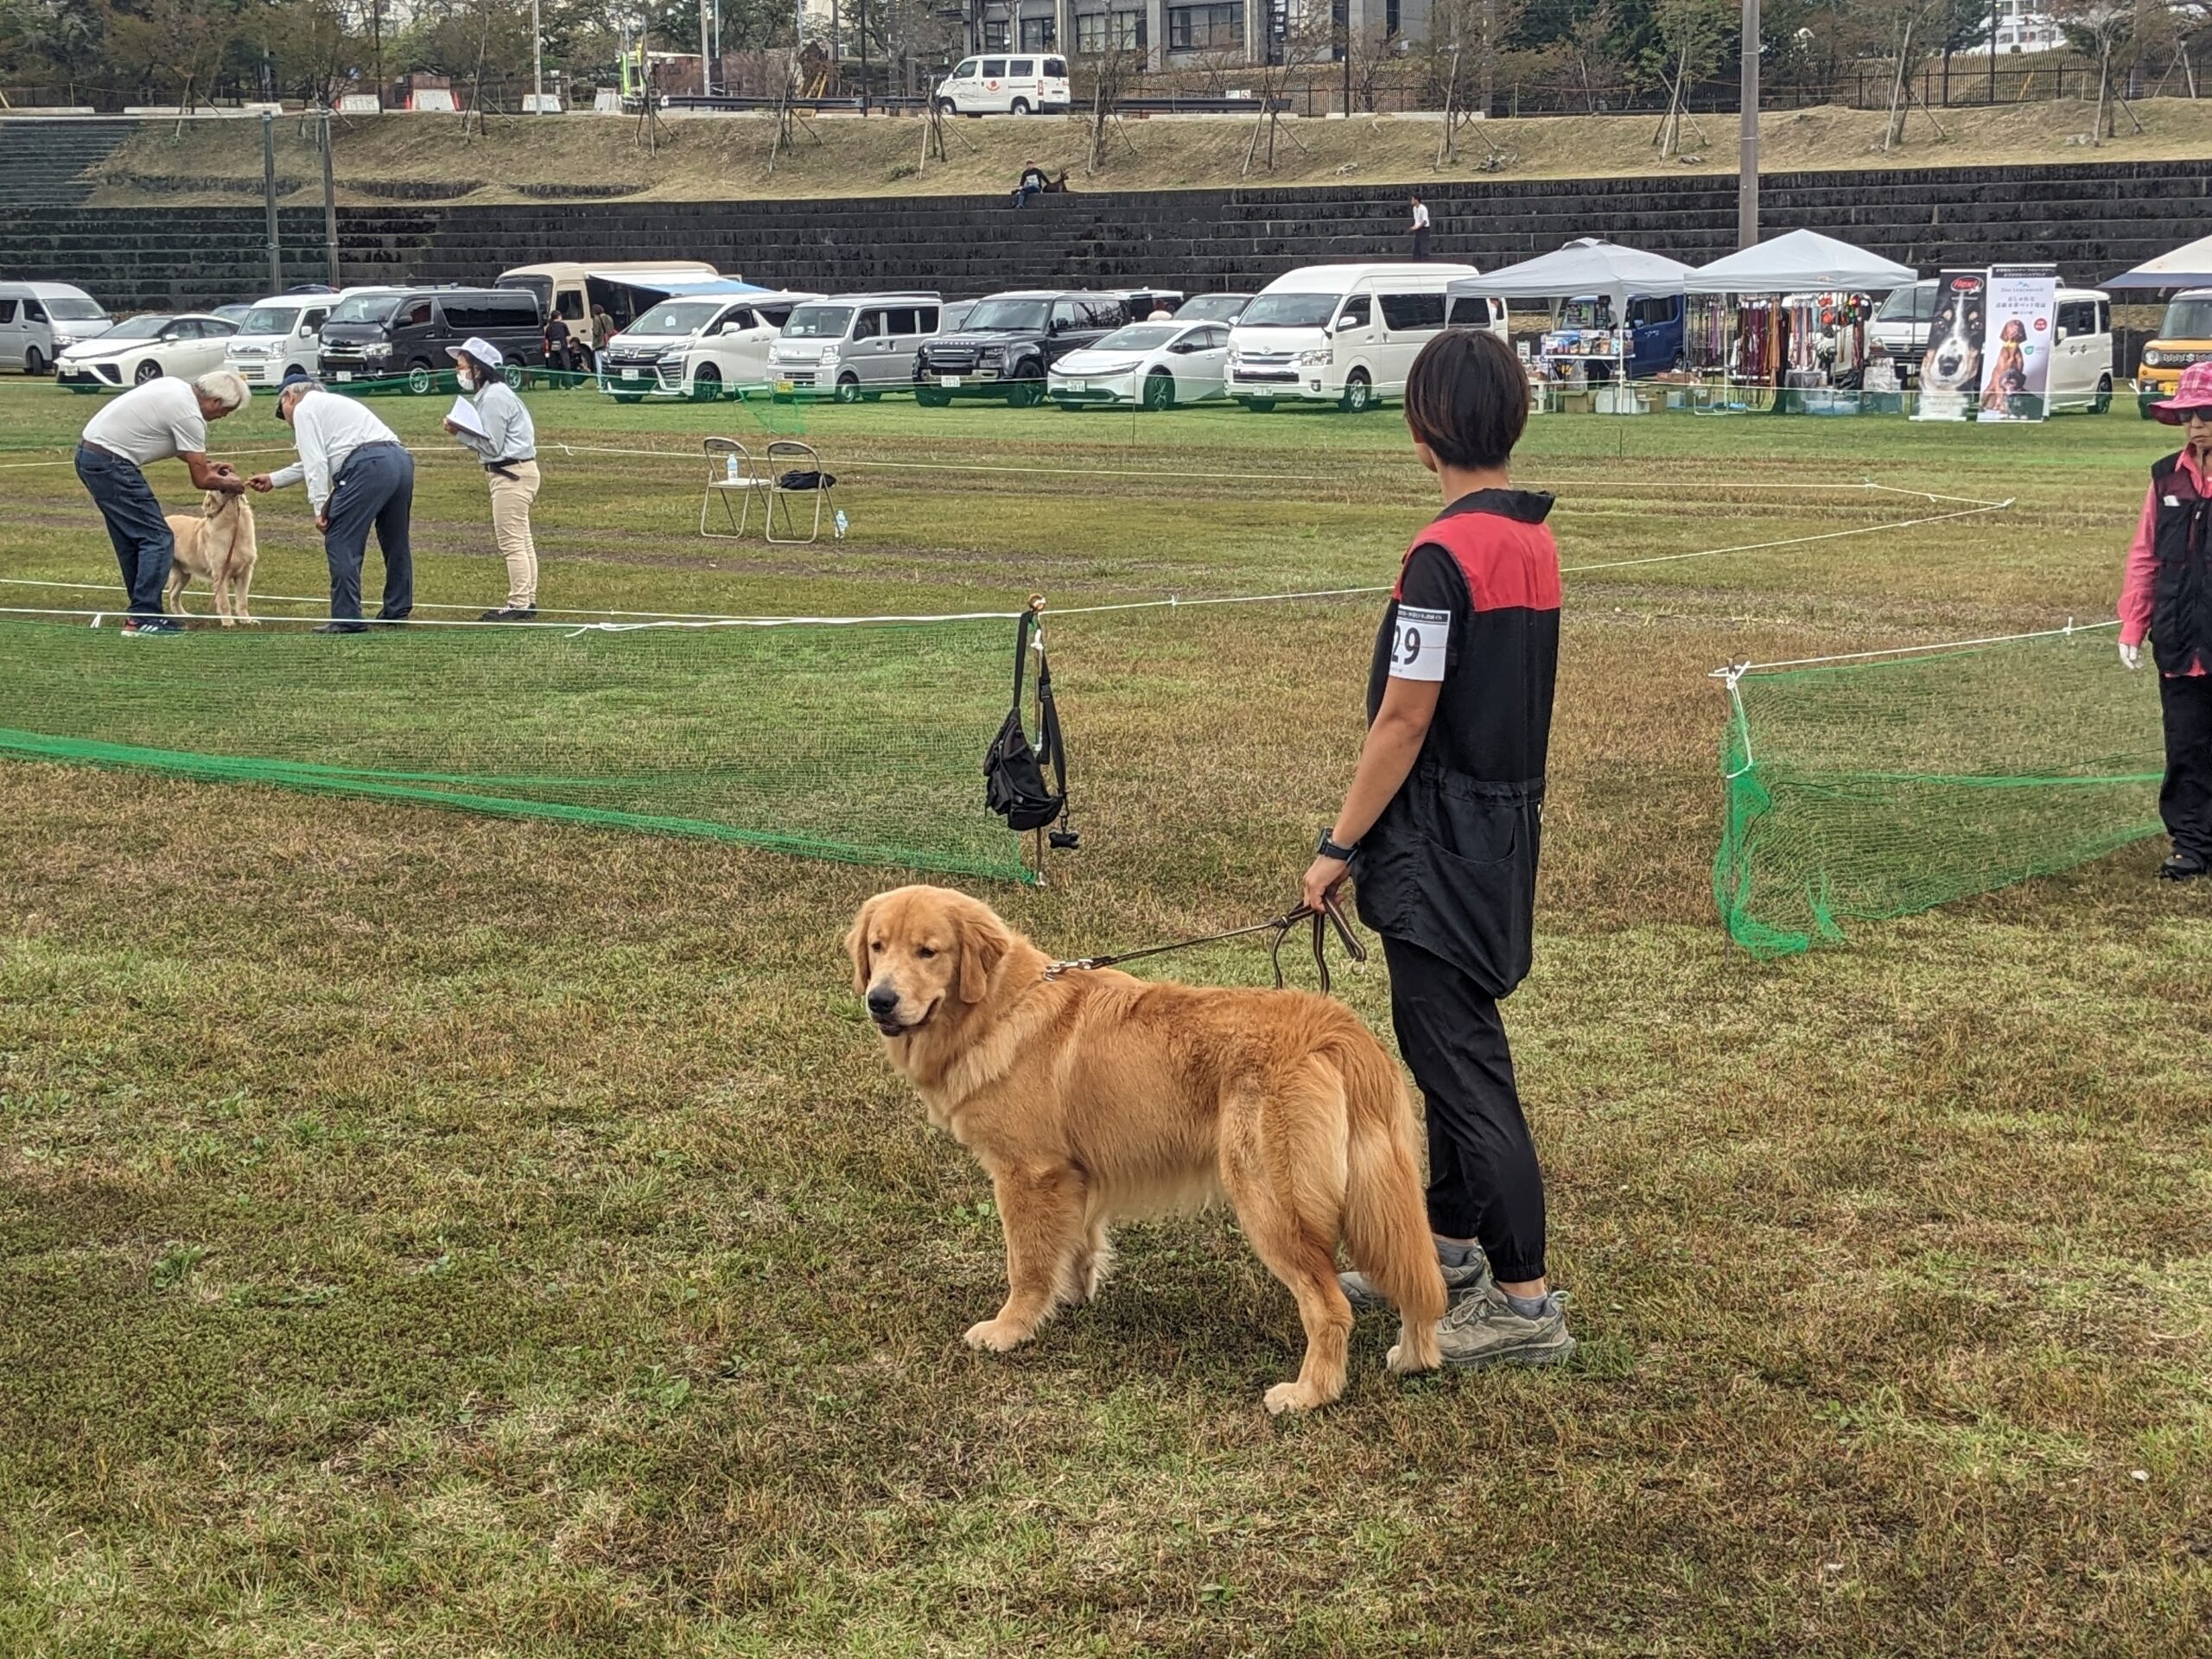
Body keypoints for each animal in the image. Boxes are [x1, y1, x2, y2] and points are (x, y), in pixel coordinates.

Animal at [161, 489, 258, 626]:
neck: (234, 523)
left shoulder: (245, 573)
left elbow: (243, 602)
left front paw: (247, 621)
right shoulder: (221, 574)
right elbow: (224, 602)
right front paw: (228, 622)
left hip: (184, 575)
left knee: (173, 594)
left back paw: (183, 614)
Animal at [846, 885, 1446, 1413]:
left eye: (928, 951)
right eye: (878, 946)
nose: (880, 1000)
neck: (1000, 1006)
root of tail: (1335, 1031)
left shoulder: (1027, 1173)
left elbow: (1027, 1264)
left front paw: (1010, 1328)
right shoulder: (1074, 1174)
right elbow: (1076, 1243)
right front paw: (1070, 1296)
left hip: (1273, 1204)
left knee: (1329, 1307)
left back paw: (1309, 1393)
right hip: (1385, 1197)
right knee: (1418, 1280)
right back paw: (1413, 1357)